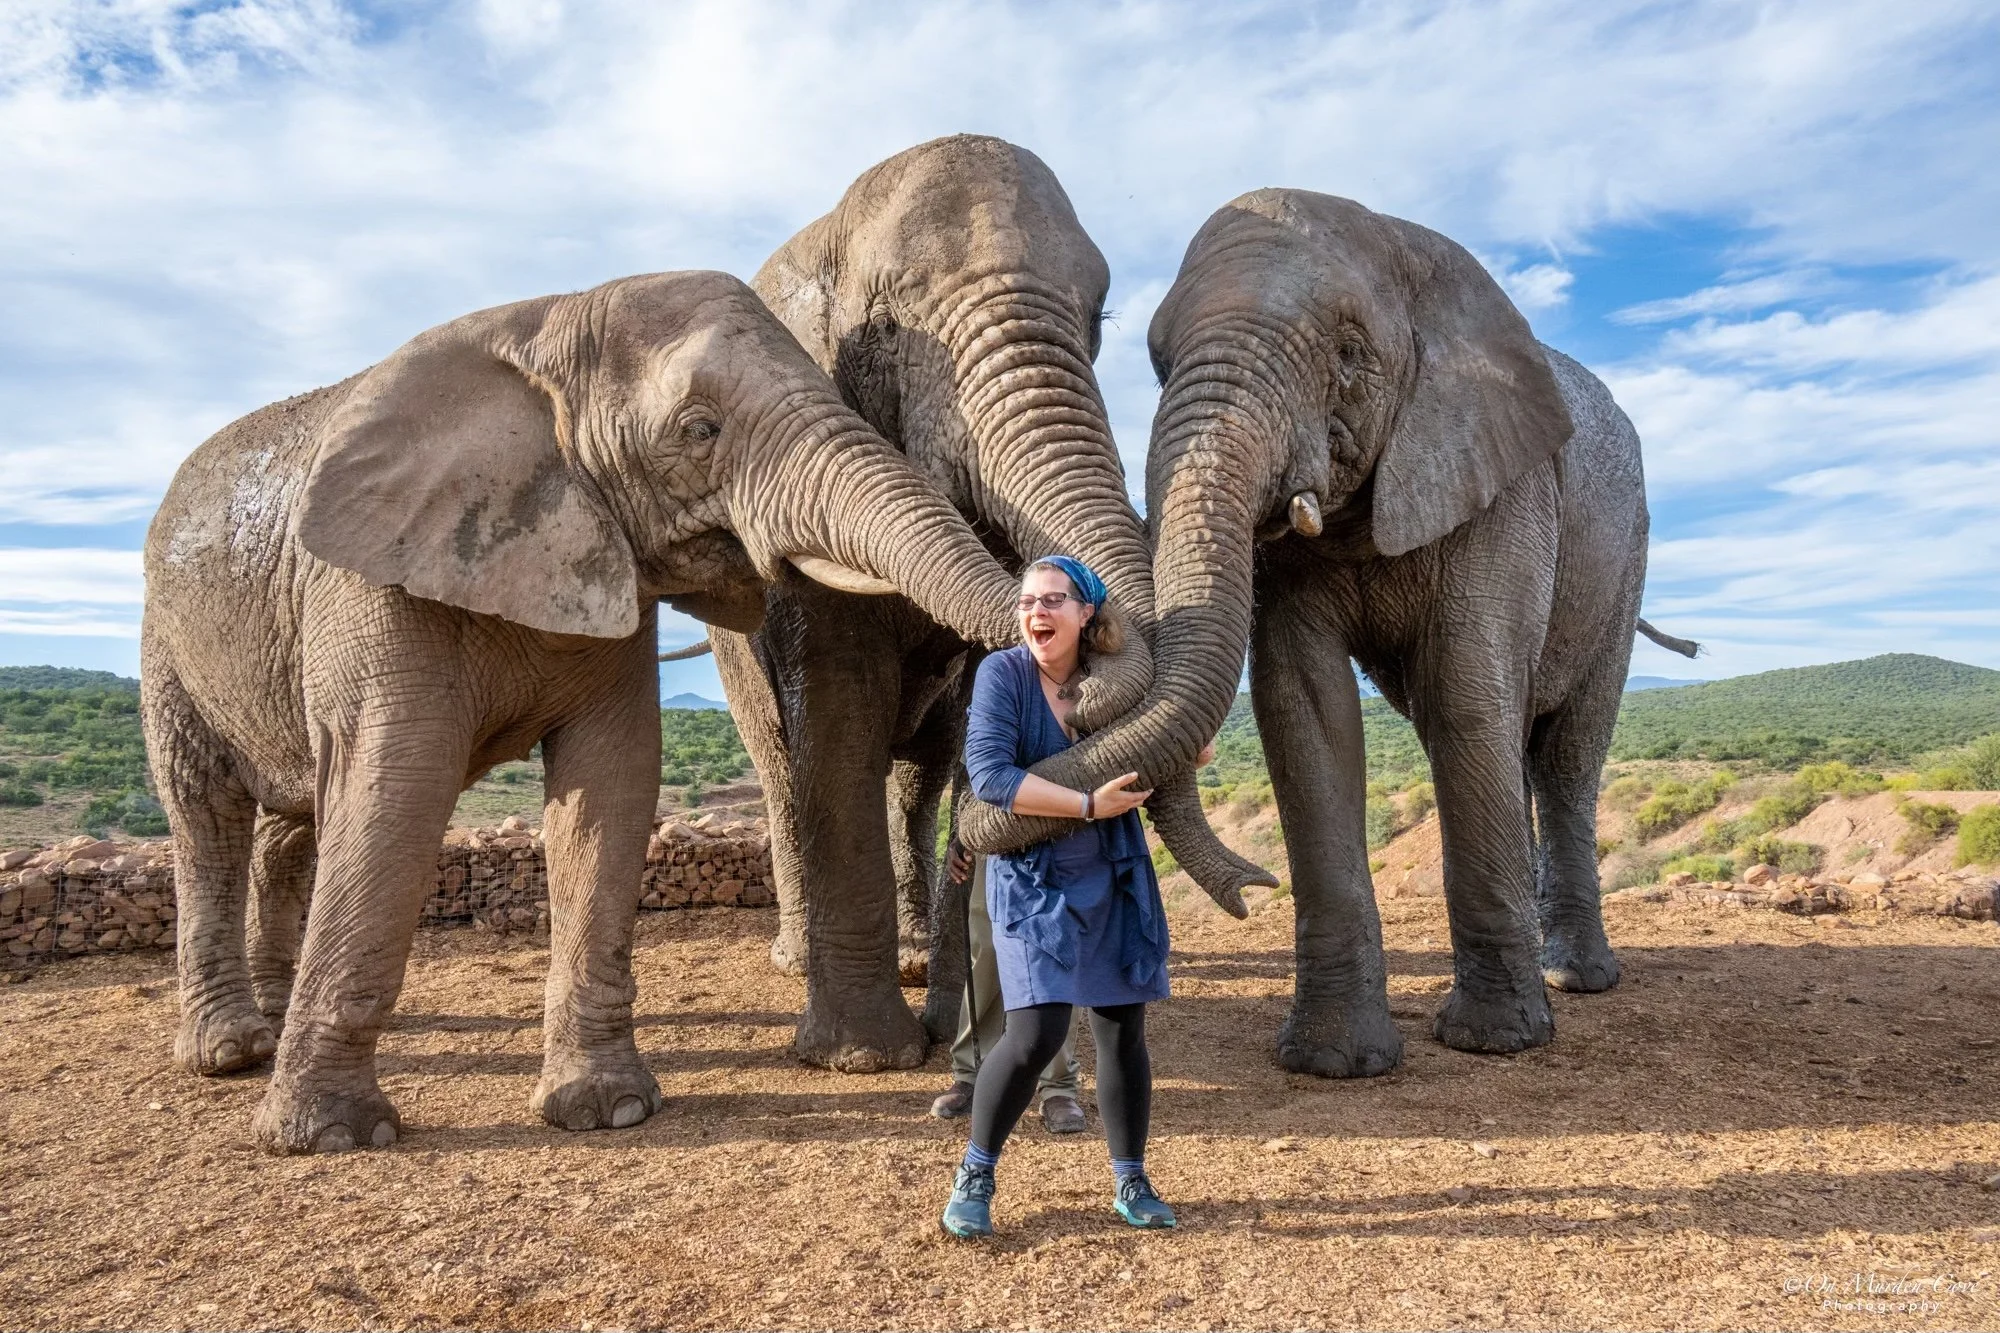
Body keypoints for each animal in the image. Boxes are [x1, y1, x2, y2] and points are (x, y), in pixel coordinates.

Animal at [140, 269, 1022, 1154]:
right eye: (698, 430)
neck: (548, 322)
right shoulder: (370, 583)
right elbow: (395, 785)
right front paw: (330, 1136)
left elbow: (611, 781)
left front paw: (609, 1110)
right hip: (164, 641)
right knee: (208, 814)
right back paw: (230, 1050)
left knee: (287, 826)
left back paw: (270, 1012)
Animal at [704, 135, 1256, 1073]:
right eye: (885, 329)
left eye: (1098, 319)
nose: (1261, 891)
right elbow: (837, 698)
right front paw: (865, 1058)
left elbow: (977, 722)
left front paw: (964, 1022)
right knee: (780, 763)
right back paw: (797, 961)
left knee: (920, 773)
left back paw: (916, 954)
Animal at [963, 188, 1666, 1073]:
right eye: (1157, 364)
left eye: (1349, 354)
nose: (1252, 890)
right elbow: (1305, 709)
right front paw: (1335, 1063)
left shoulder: (1505, 486)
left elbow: (1468, 692)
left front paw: (1496, 1042)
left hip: (1624, 560)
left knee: (1564, 754)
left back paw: (1574, 978)